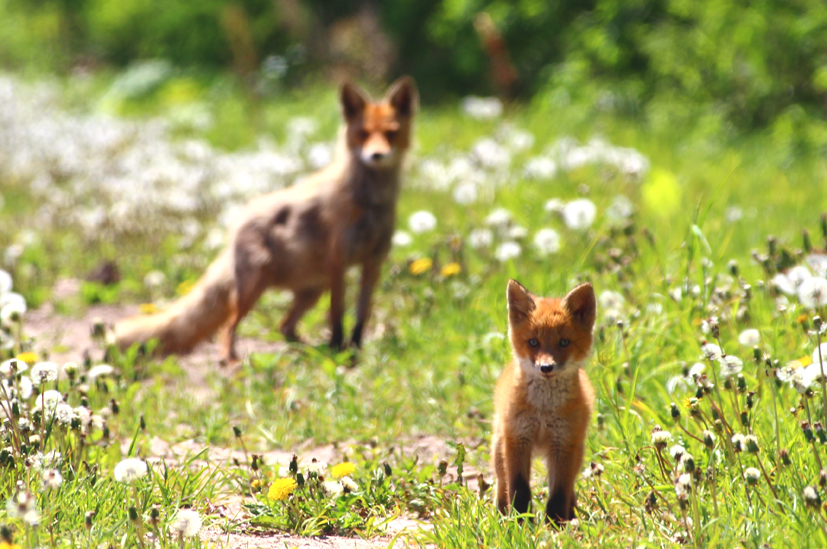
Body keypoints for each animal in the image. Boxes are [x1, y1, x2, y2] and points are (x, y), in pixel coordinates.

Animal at [113, 75, 418, 362]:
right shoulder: (338, 262)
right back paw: (232, 359)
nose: (376, 155)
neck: (371, 202)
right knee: (229, 327)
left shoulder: (373, 263)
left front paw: (353, 350)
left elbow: (361, 316)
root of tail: (235, 225)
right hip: (255, 287)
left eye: (391, 133)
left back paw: (307, 350)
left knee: (283, 327)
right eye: (363, 134)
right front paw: (337, 347)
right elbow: (337, 314)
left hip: (311, 291)